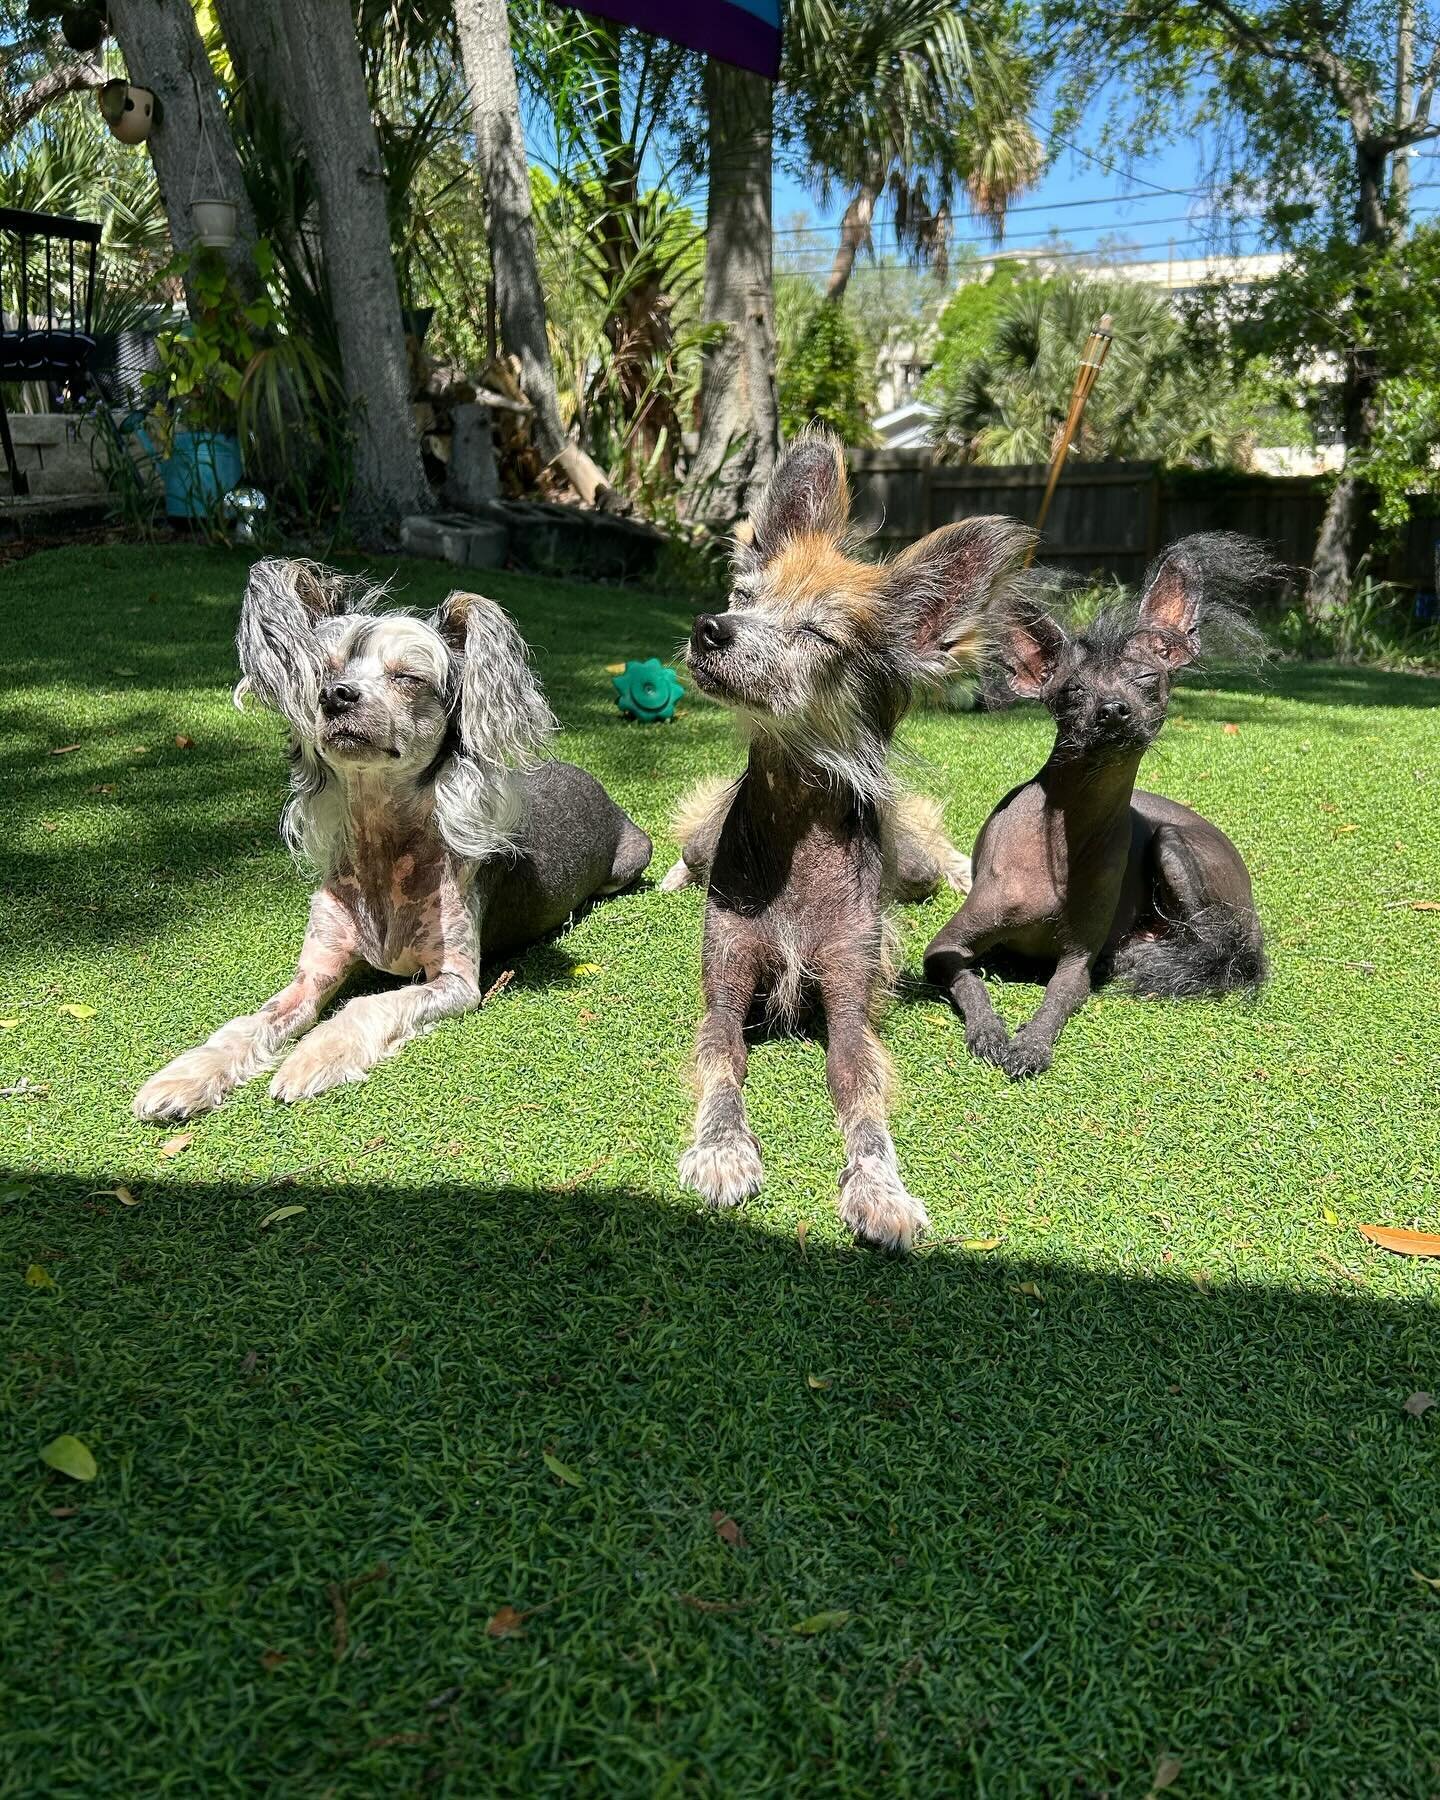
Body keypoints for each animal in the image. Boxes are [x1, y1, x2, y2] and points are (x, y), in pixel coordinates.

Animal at [135, 561, 651, 1123]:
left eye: (408, 677)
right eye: (324, 671)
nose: (336, 694)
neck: (380, 847)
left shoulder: (454, 983)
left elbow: (369, 1003)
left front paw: (313, 1056)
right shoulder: (311, 976)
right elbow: (252, 1021)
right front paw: (187, 1075)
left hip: (632, 857)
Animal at [662, 435, 1036, 1252]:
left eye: (818, 633)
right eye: (743, 597)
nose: (710, 627)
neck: (795, 831)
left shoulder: (852, 1009)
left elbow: (864, 1108)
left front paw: (880, 1188)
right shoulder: (725, 989)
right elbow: (724, 1069)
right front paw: (722, 1150)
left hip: (913, 863)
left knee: (934, 853)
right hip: (702, 841)